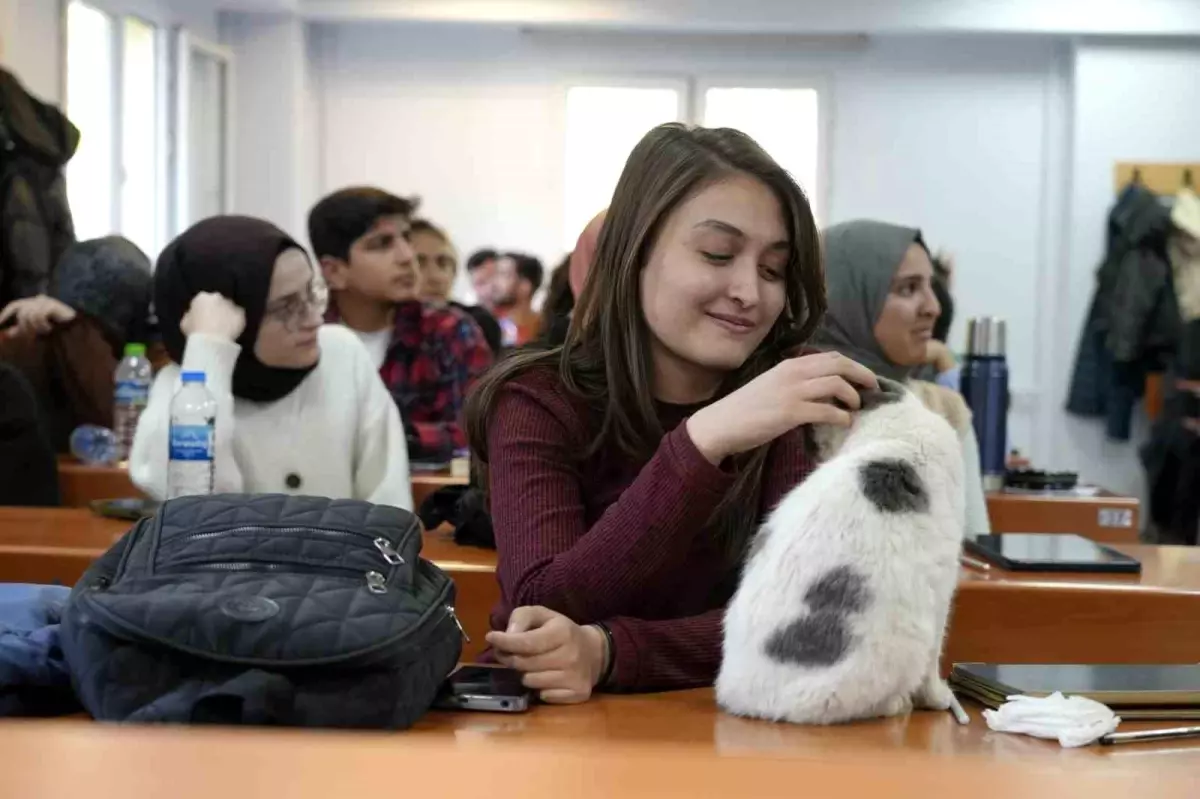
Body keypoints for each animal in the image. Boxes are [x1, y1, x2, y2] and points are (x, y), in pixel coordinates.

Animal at [710, 376, 964, 724]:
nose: (803, 441)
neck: (894, 428)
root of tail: (743, 701)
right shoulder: (943, 589)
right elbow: (934, 664)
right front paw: (939, 697)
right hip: (906, 637)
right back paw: (897, 704)